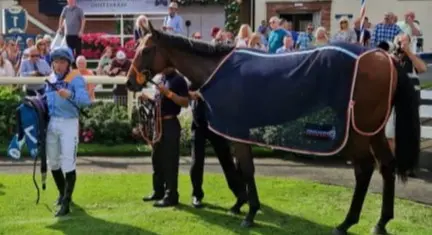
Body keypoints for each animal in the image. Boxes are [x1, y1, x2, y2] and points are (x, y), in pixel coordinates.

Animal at [125, 22, 418, 235]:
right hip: (374, 130)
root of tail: (384, 56)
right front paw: (239, 205)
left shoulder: (237, 131)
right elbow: (237, 169)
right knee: (387, 166)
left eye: (146, 50)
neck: (218, 70)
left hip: (356, 132)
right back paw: (380, 223)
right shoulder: (233, 132)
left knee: (365, 169)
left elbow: (246, 169)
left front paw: (250, 212)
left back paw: (346, 222)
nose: (129, 82)